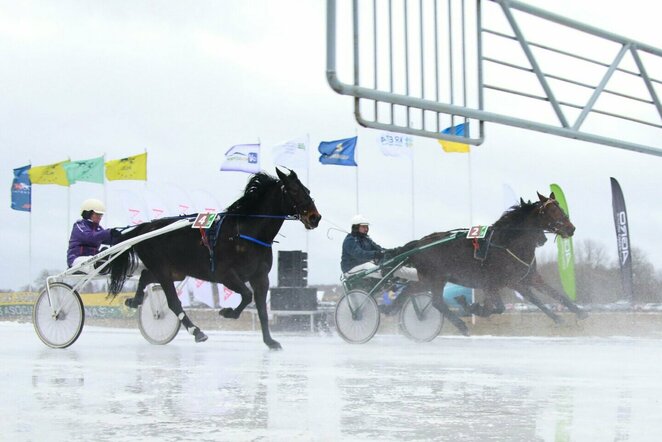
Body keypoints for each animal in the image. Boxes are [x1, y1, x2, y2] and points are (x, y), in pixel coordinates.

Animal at [108, 169, 322, 348]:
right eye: (294, 190)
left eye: (307, 189)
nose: (315, 217)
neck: (246, 233)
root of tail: (145, 228)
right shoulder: (225, 274)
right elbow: (247, 295)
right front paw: (228, 312)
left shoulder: (260, 277)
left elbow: (262, 309)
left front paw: (270, 341)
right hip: (162, 270)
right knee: (173, 302)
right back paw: (196, 331)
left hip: (174, 271)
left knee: (145, 275)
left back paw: (134, 301)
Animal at [392, 193, 588, 334]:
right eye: (551, 211)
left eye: (560, 208)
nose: (571, 228)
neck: (509, 243)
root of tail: (418, 244)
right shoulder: (500, 283)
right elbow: (500, 308)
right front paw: (470, 305)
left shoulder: (528, 278)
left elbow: (556, 295)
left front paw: (577, 313)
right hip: (436, 278)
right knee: (436, 302)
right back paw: (460, 325)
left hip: (428, 280)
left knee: (411, 290)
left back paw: (391, 308)